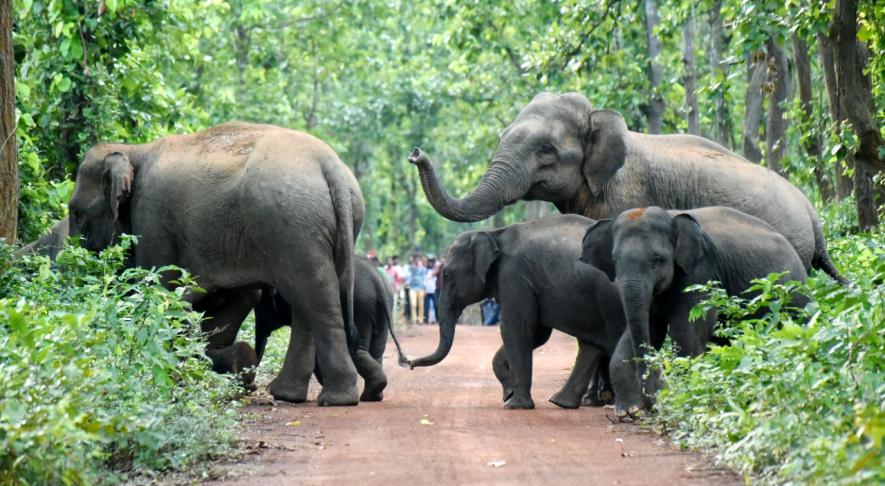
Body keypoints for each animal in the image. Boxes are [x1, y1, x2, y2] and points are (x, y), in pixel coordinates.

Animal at [66, 122, 365, 406]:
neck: (135, 150)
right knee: (306, 302)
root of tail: (331, 167)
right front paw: (230, 361)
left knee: (313, 298)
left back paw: (335, 399)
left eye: (76, 212)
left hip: (290, 224)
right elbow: (238, 298)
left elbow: (162, 286)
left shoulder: (151, 216)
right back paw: (286, 393)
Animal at [251, 256, 406, 402]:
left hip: (359, 306)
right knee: (377, 352)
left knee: (357, 350)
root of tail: (377, 282)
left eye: (261, 306)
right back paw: (372, 396)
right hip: (381, 309)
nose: (256, 388)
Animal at [407, 214, 626, 410]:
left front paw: (515, 404)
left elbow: (517, 327)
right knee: (590, 345)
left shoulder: (514, 275)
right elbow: (537, 334)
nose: (409, 363)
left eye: (447, 275)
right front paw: (509, 394)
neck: (494, 234)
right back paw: (561, 402)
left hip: (612, 299)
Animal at [580, 206, 808, 418]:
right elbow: (649, 330)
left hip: (791, 298)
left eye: (658, 259)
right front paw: (629, 410)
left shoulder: (701, 271)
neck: (670, 217)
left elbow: (686, 333)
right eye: (615, 260)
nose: (651, 405)